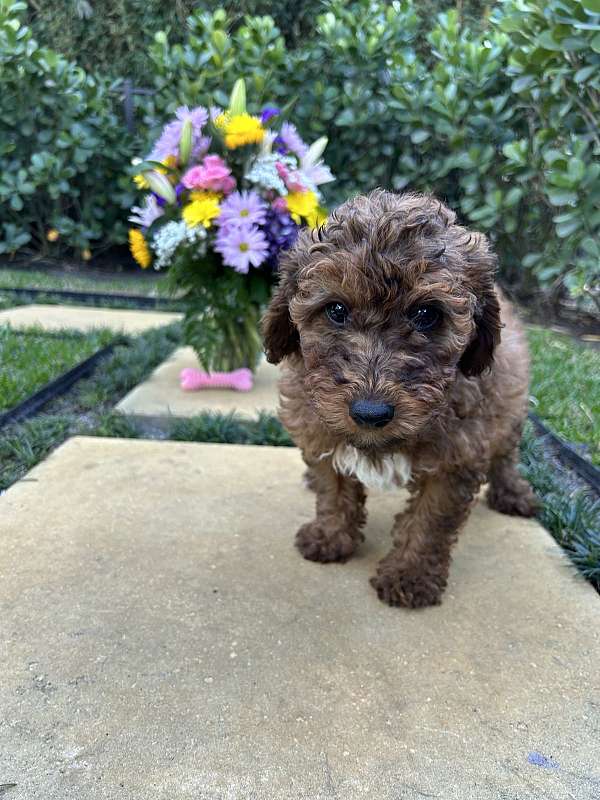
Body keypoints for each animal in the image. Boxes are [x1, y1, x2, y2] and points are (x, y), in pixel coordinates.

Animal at [262, 192, 536, 608]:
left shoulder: (457, 455)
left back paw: (513, 492)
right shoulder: (318, 425)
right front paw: (331, 536)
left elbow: (430, 519)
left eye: (426, 314)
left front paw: (410, 574)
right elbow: (333, 488)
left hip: (509, 406)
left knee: (505, 453)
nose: (370, 412)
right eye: (336, 309)